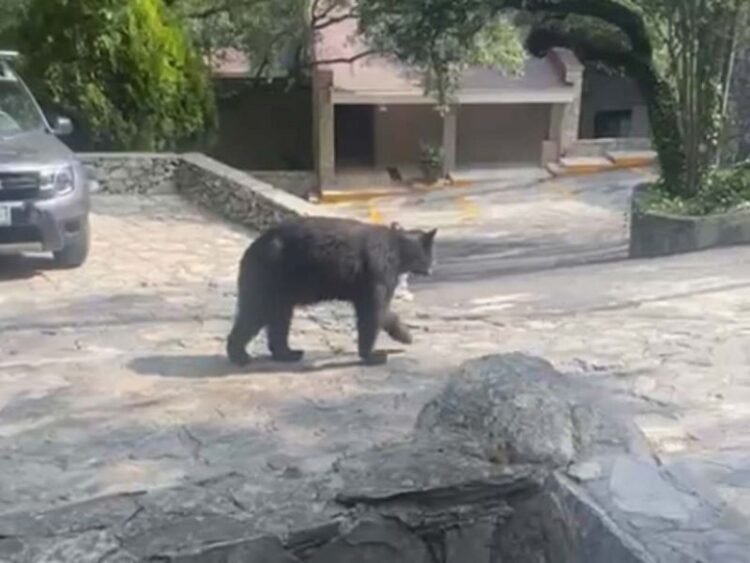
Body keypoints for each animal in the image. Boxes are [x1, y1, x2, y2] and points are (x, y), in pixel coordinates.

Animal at [226, 217, 437, 367]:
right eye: (430, 254)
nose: (431, 269)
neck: (398, 249)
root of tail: (251, 249)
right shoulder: (378, 270)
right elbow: (373, 310)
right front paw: (374, 354)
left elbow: (381, 311)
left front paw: (404, 335)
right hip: (267, 279)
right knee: (254, 314)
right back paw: (239, 355)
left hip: (280, 292)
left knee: (279, 320)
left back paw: (287, 353)